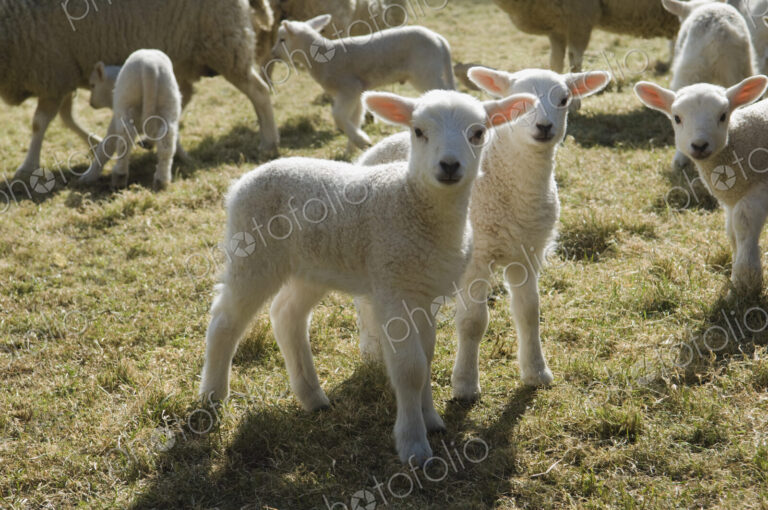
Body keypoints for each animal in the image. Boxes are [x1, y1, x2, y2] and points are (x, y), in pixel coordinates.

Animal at [79, 50, 181, 190]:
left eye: (93, 85)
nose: (91, 103)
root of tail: (150, 68)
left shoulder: (115, 117)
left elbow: (106, 146)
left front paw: (88, 176)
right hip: (169, 102)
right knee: (167, 142)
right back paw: (162, 180)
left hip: (127, 103)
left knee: (125, 139)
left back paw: (119, 176)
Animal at [198, 89, 537, 464]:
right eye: (418, 131)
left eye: (478, 133)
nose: (449, 166)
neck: (412, 201)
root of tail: (242, 181)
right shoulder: (393, 288)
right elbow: (410, 369)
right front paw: (414, 444)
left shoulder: (424, 292)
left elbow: (426, 358)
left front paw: (431, 420)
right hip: (253, 253)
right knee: (225, 320)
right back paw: (213, 395)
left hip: (311, 266)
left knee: (286, 315)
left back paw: (312, 397)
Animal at [270, 14, 455, 154]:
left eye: (282, 40)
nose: (272, 53)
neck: (321, 59)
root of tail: (440, 40)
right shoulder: (358, 92)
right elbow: (356, 117)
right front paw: (352, 150)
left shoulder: (349, 87)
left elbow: (338, 115)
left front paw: (361, 141)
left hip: (426, 73)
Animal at [354, 66, 611, 399]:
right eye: (518, 104)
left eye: (564, 99)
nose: (544, 127)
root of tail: (377, 146)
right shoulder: (477, 259)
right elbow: (472, 322)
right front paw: (465, 384)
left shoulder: (527, 254)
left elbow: (529, 312)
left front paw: (536, 371)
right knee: (364, 300)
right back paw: (371, 351)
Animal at [635, 75, 768, 295]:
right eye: (677, 118)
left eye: (723, 116)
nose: (699, 145)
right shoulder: (731, 199)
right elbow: (732, 232)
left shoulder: (759, 186)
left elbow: (743, 223)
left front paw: (746, 279)